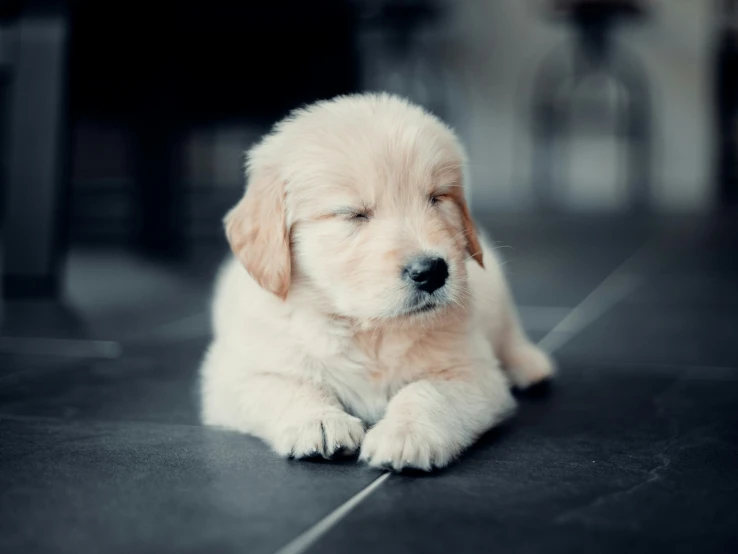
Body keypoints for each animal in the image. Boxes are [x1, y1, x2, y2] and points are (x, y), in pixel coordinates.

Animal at [198, 92, 556, 468]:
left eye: (437, 197)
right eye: (354, 214)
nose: (431, 271)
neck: (369, 330)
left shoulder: (472, 371)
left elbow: (427, 392)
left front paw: (405, 433)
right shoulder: (236, 373)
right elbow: (285, 386)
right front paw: (321, 421)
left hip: (497, 292)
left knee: (509, 333)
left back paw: (529, 364)